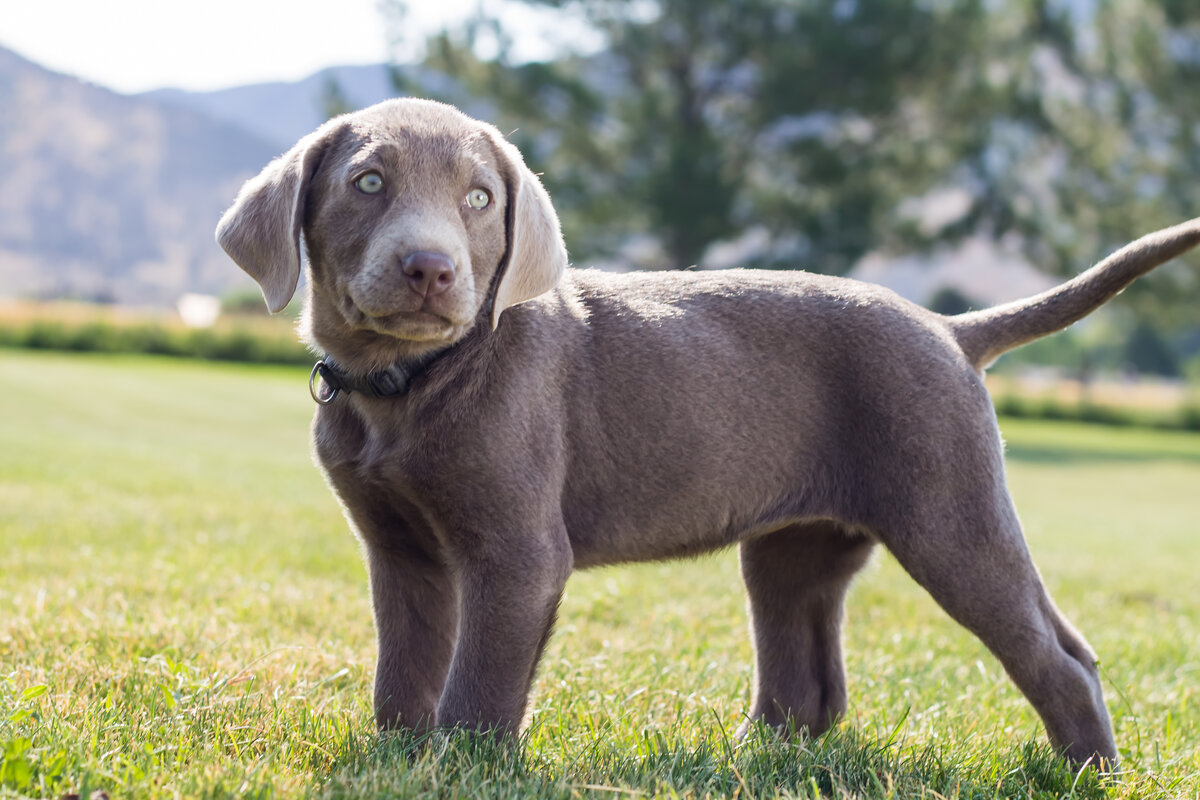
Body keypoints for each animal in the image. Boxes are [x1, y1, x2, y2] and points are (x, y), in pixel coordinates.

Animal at [218, 97, 1200, 767]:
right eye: (368, 183)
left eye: (480, 199)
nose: (430, 269)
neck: (407, 386)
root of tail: (950, 328)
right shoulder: (398, 546)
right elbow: (406, 664)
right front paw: (400, 757)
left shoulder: (519, 551)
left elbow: (483, 678)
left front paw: (461, 765)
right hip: (796, 544)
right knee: (809, 684)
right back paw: (755, 758)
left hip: (951, 515)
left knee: (1060, 653)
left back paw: (1086, 772)